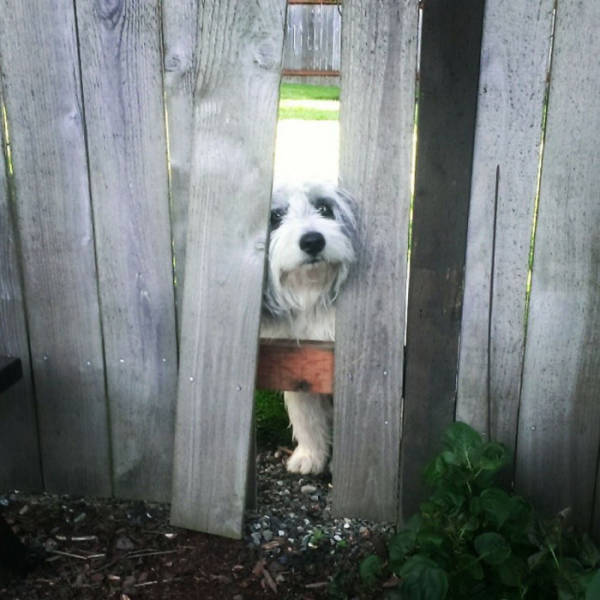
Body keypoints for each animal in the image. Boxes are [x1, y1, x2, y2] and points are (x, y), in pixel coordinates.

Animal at [258, 182, 356, 474]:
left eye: (324, 207)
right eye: (276, 216)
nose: (313, 241)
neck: (311, 291)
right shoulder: (298, 365)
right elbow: (306, 413)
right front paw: (310, 455)